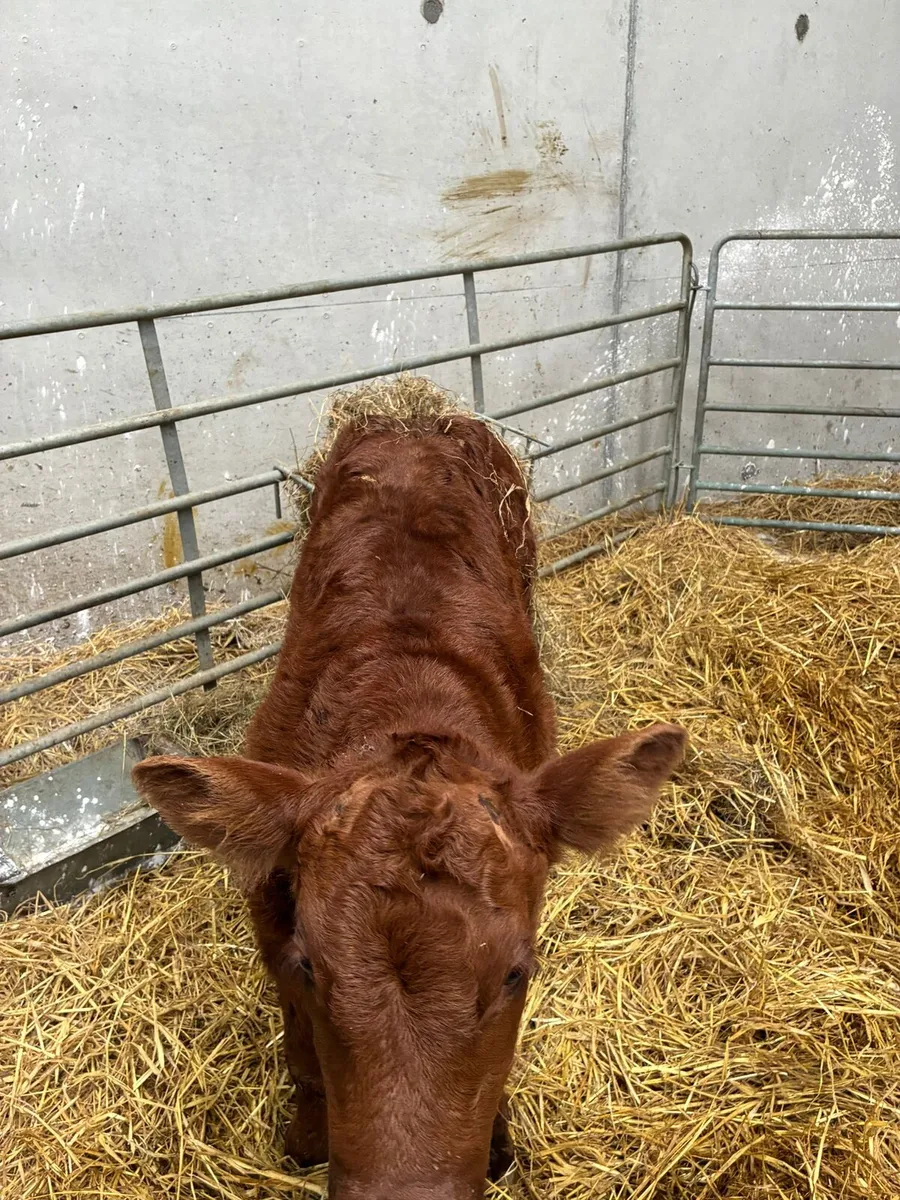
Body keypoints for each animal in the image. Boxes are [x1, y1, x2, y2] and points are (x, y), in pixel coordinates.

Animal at [133, 408, 686, 1200]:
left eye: (517, 973)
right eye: (312, 968)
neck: (405, 694)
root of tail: (412, 415)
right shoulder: (272, 919)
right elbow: (302, 1055)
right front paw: (306, 1138)